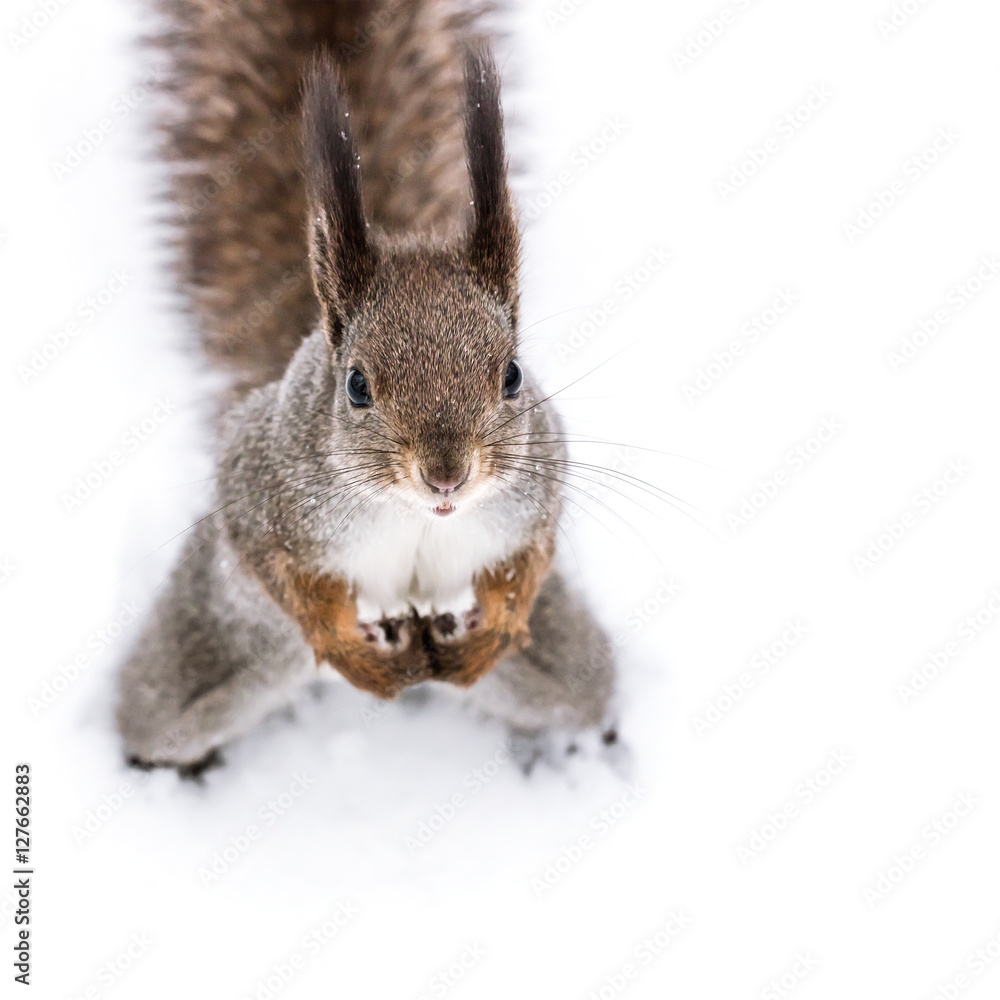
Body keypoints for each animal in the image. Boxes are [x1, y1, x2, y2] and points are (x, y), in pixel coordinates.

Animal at [117, 0, 617, 774]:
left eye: (512, 374)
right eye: (356, 385)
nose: (446, 475)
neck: (415, 514)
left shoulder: (541, 478)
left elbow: (528, 563)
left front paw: (495, 625)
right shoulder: (258, 490)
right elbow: (285, 579)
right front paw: (350, 651)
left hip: (562, 669)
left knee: (577, 693)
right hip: (203, 648)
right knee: (162, 716)